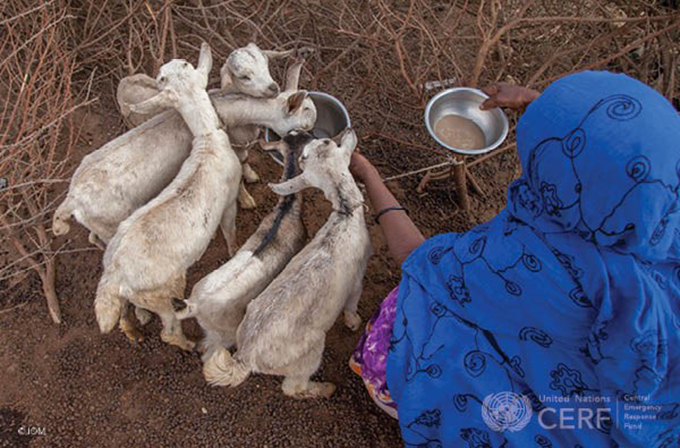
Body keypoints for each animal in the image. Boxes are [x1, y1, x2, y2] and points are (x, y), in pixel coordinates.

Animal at [93, 43, 242, 350]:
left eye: (181, 66)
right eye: (162, 77)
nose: (160, 71)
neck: (208, 140)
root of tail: (115, 276)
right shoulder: (230, 200)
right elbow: (230, 231)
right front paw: (233, 251)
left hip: (129, 295)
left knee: (123, 315)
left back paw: (134, 332)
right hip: (159, 292)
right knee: (169, 331)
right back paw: (190, 345)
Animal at [202, 130, 372, 400]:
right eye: (329, 143)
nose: (349, 131)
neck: (345, 215)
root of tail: (246, 355)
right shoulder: (357, 279)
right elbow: (352, 305)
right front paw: (354, 323)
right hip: (309, 354)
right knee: (294, 387)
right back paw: (325, 388)